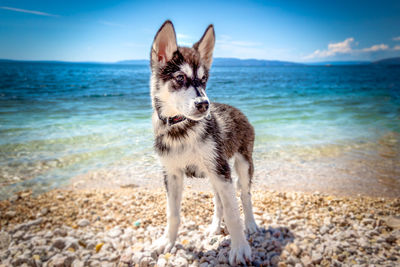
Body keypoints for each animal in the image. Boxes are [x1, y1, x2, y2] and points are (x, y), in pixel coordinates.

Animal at [148, 20, 258, 266]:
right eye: (180, 78)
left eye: (204, 79)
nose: (204, 104)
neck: (181, 130)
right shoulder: (171, 174)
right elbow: (173, 213)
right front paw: (166, 242)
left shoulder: (221, 170)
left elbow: (233, 213)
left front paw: (239, 249)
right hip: (213, 172)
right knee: (218, 201)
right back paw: (215, 227)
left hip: (241, 164)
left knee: (244, 196)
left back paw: (251, 225)